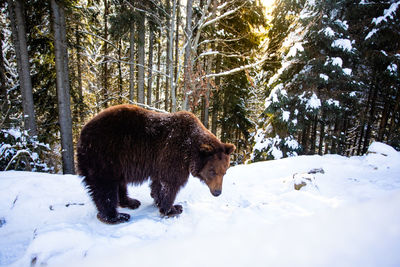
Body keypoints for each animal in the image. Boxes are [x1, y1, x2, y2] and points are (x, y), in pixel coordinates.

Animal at [76, 104, 236, 224]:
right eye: (212, 171)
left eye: (225, 172)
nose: (217, 192)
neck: (190, 149)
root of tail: (82, 133)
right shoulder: (174, 153)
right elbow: (171, 182)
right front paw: (172, 208)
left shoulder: (160, 161)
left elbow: (158, 182)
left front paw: (159, 200)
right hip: (105, 155)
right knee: (105, 187)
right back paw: (116, 216)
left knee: (119, 183)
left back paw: (130, 202)